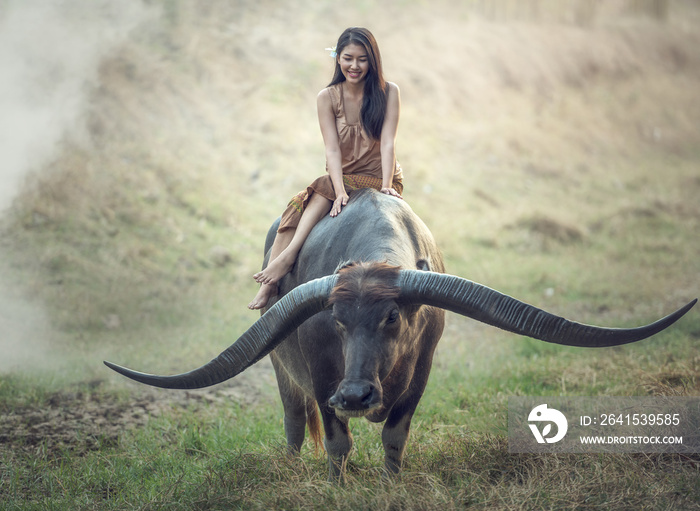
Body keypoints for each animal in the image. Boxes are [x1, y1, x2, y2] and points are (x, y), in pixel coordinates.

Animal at [104, 189, 696, 484]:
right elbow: (337, 442)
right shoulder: (323, 374)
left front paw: (390, 485)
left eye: (393, 317)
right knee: (295, 419)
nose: (355, 395)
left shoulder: (421, 372)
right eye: (337, 321)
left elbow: (395, 434)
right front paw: (336, 489)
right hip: (281, 369)